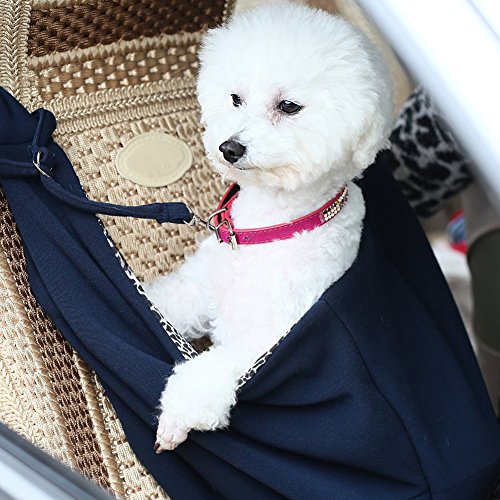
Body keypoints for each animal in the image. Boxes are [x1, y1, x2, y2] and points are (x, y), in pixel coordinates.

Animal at [145, 0, 393, 452]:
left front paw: (175, 418)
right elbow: (168, 301)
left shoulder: (264, 342)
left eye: (289, 106)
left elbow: (209, 372)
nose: (229, 147)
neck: (269, 228)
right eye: (235, 98)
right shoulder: (199, 287)